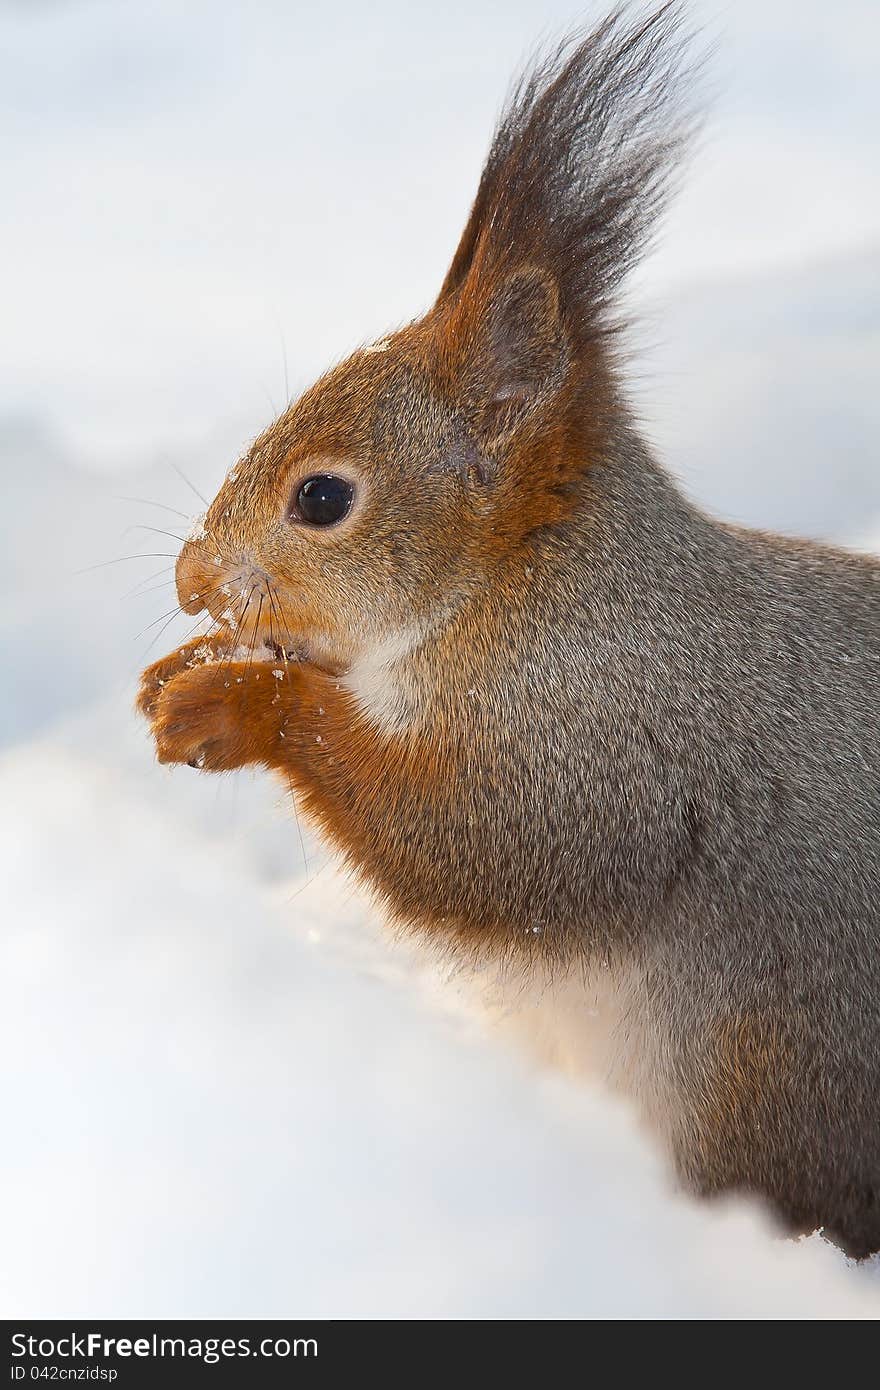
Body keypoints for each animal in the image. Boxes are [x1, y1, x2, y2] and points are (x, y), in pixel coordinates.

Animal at [134, 2, 873, 1262]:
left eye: (321, 497)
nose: (192, 582)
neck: (530, 588)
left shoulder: (609, 747)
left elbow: (475, 850)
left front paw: (235, 703)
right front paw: (188, 667)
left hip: (765, 1078)